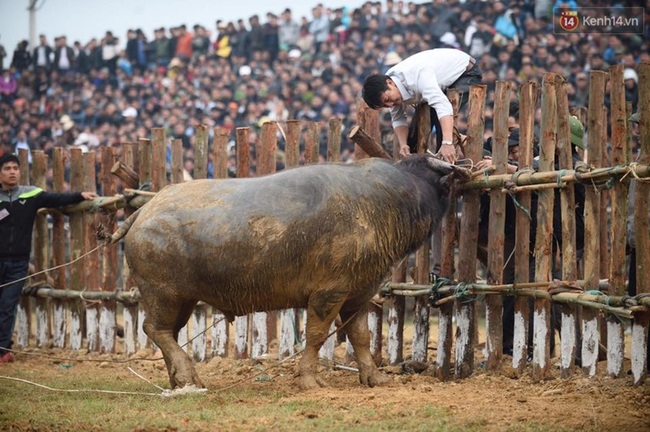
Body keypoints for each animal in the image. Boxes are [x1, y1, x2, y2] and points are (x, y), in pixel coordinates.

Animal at [110, 154, 466, 388]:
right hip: (164, 294)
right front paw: (308, 379)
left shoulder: (358, 295)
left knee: (165, 332)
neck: (378, 203)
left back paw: (178, 379)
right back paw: (187, 375)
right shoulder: (328, 293)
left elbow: (361, 337)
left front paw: (373, 376)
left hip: (183, 299)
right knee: (155, 329)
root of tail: (144, 210)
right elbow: (317, 335)